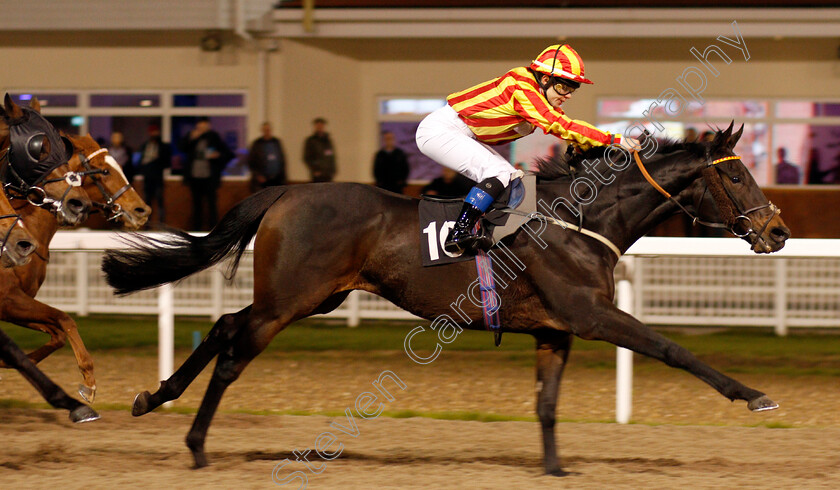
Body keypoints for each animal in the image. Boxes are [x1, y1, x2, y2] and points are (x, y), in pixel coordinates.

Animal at [105, 124, 788, 472]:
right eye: (733, 174)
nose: (777, 231)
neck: (582, 219)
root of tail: (285, 191)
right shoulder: (593, 316)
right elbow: (673, 349)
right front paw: (753, 394)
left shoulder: (555, 329)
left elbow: (546, 405)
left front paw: (555, 468)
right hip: (289, 301)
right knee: (232, 352)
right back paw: (195, 444)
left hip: (311, 297)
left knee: (223, 325)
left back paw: (153, 398)